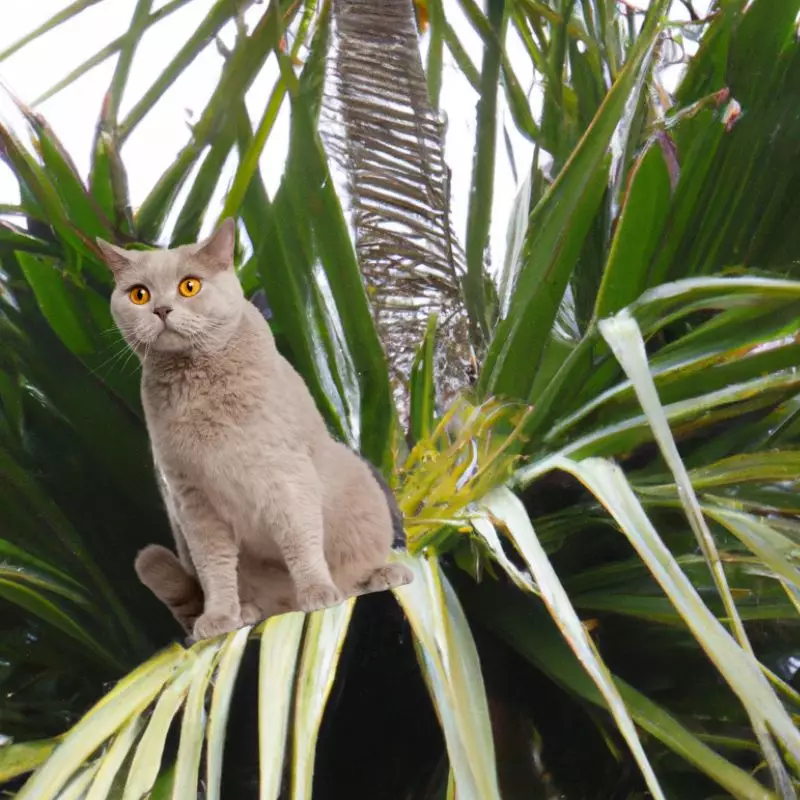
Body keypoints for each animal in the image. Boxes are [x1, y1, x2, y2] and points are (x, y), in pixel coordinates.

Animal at [97, 220, 416, 644]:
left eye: (189, 286)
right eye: (139, 294)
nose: (161, 309)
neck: (199, 389)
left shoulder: (285, 475)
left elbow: (300, 539)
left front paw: (318, 591)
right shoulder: (192, 501)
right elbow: (215, 567)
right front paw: (220, 617)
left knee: (356, 568)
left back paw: (376, 575)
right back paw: (248, 611)